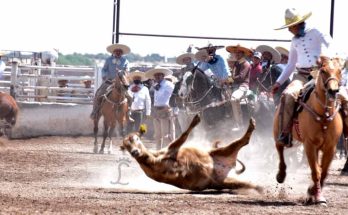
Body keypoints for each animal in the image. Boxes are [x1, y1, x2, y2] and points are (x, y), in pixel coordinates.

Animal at [274, 56, 342, 206]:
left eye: (340, 71)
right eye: (323, 71)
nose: (333, 91)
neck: (324, 115)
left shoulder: (331, 148)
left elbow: (323, 172)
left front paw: (312, 192)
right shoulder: (309, 145)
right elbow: (316, 172)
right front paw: (318, 197)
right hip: (277, 133)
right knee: (280, 150)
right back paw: (281, 175)